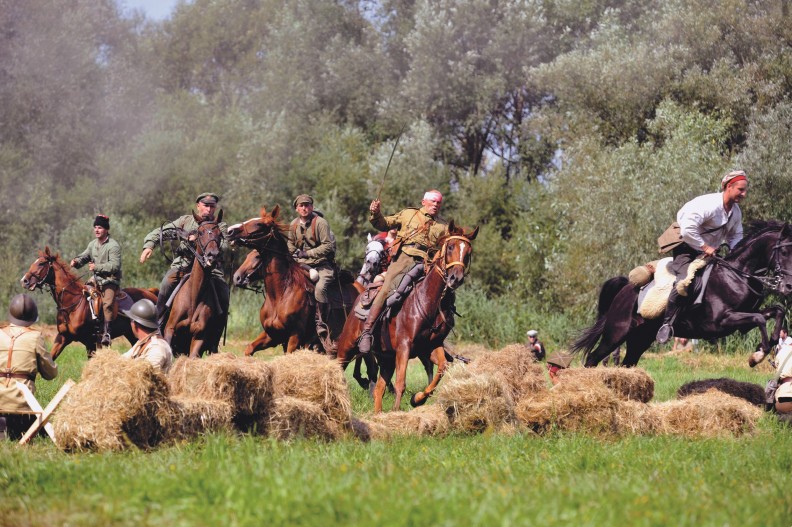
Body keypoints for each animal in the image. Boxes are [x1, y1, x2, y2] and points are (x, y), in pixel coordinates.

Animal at [20, 248, 158, 358]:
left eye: (41, 263)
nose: (24, 281)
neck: (72, 305)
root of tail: (150, 292)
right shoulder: (62, 338)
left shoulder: (90, 342)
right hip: (132, 335)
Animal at [166, 211, 227, 358]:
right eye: (200, 232)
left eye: (220, 234)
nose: (212, 255)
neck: (194, 296)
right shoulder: (170, 330)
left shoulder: (199, 337)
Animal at [224, 206, 358, 354]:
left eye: (260, 224)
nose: (230, 231)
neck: (280, 294)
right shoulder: (272, 335)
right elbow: (250, 348)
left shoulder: (295, 337)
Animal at [334, 223, 476, 412]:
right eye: (451, 247)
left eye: (468, 251)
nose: (455, 278)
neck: (429, 301)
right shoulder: (404, 346)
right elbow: (401, 382)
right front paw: (398, 410)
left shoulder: (429, 347)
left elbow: (442, 367)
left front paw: (418, 399)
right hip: (347, 348)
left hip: (386, 358)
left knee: (379, 388)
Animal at [572, 221, 792, 370]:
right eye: (785, 253)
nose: (788, 286)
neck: (737, 276)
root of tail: (626, 289)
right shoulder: (722, 321)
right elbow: (760, 319)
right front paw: (758, 355)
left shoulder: (745, 319)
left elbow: (777, 311)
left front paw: (767, 345)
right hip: (616, 333)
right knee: (592, 358)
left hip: (640, 338)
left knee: (627, 363)